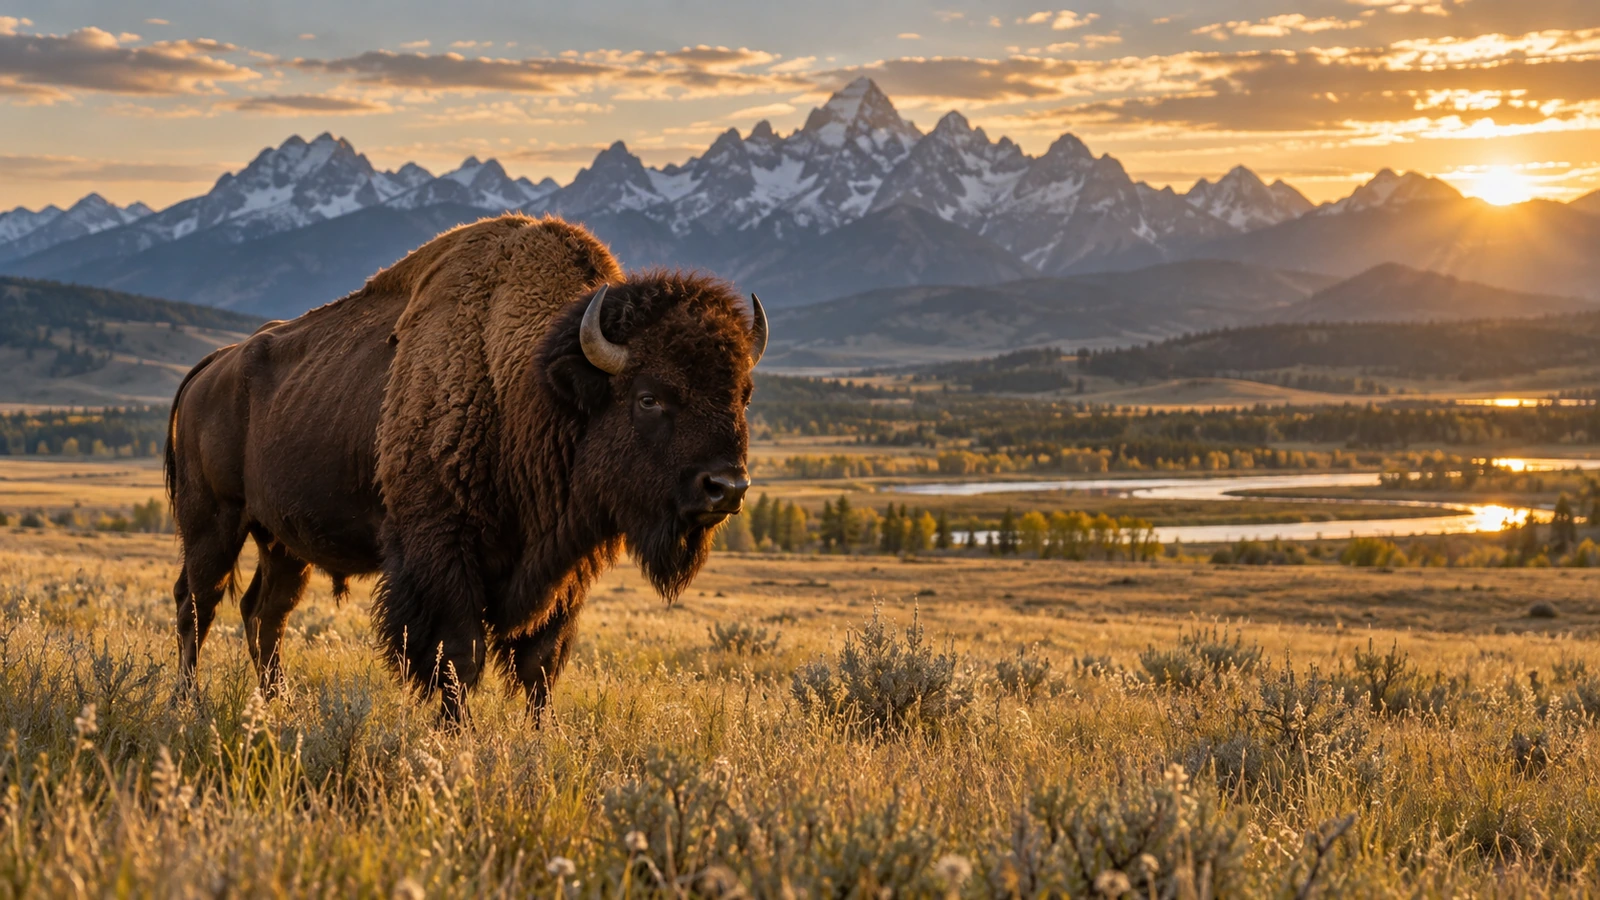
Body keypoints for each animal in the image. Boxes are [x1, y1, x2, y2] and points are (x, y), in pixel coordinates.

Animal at [165, 214, 765, 721]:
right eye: (649, 398)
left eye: (743, 394)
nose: (726, 487)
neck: (530, 385)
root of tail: (211, 367)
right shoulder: (442, 553)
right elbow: (459, 656)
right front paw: (456, 737)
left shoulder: (563, 572)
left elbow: (540, 664)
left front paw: (539, 740)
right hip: (214, 523)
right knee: (198, 605)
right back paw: (187, 702)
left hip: (283, 542)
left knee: (265, 613)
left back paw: (276, 705)